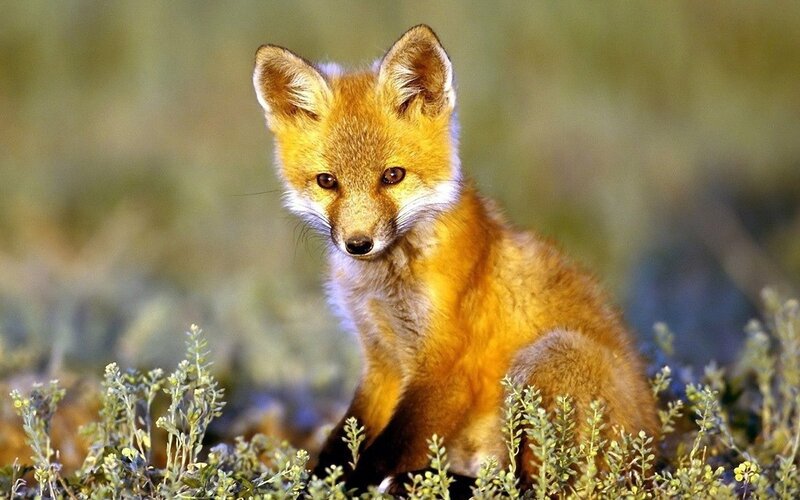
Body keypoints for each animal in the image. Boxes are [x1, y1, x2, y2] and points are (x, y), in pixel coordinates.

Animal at [252, 25, 658, 493]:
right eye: (327, 182)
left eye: (392, 176)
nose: (358, 243)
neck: (386, 283)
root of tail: (650, 459)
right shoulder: (382, 359)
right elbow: (343, 438)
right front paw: (316, 482)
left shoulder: (448, 368)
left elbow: (384, 451)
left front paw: (351, 487)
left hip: (549, 357)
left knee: (532, 485)